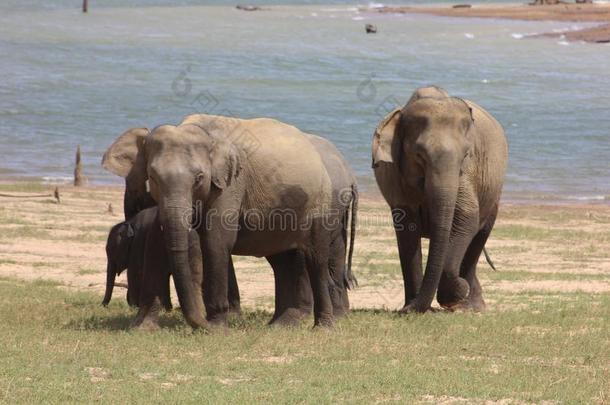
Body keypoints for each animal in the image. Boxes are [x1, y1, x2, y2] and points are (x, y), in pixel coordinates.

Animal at [102, 114, 354, 328]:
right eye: (153, 177)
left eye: (199, 178)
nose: (200, 323)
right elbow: (157, 242)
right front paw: (141, 327)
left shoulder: (230, 184)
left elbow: (216, 241)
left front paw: (217, 327)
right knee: (284, 260)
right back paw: (282, 325)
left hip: (319, 203)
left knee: (315, 257)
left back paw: (323, 327)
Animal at [370, 86, 508, 312]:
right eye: (419, 155)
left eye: (466, 155)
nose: (409, 308)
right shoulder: (396, 176)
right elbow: (407, 229)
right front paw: (413, 308)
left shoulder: (467, 172)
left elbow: (467, 217)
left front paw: (451, 296)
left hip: (494, 194)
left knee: (479, 236)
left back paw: (470, 306)